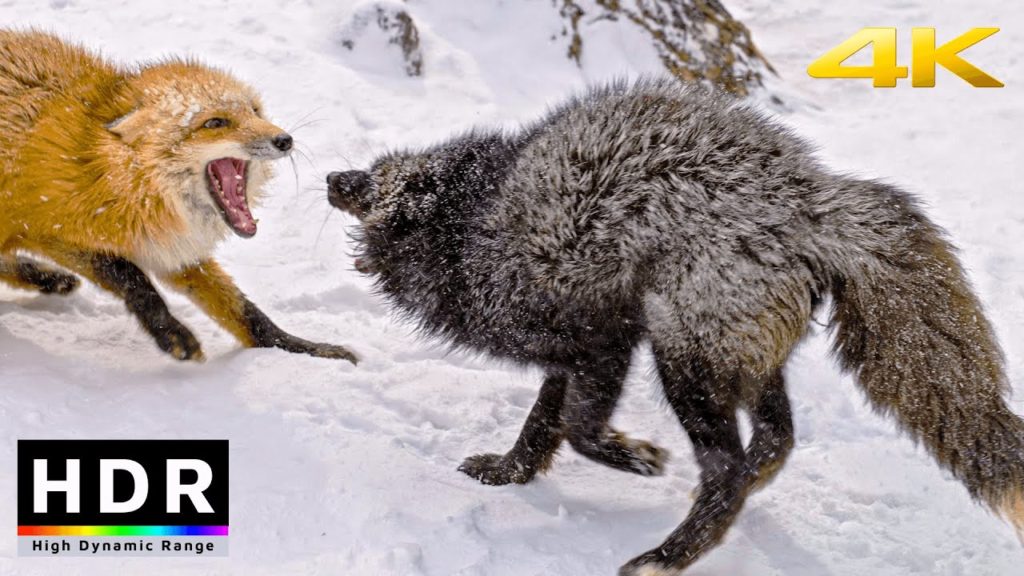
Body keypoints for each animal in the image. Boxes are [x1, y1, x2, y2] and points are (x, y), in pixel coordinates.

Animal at [0, 30, 356, 363]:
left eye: (254, 111)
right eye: (215, 122)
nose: (285, 140)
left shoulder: (172, 247)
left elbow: (246, 312)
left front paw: (305, 351)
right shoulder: (49, 228)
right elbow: (132, 277)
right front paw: (172, 333)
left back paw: (46, 278)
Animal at [326, 78, 1024, 574]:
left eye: (377, 181)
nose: (335, 176)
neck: (474, 229)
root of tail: (813, 203)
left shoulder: (603, 340)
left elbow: (577, 429)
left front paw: (633, 458)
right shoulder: (571, 354)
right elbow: (541, 428)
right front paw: (507, 474)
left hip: (682, 351)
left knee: (728, 464)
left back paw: (668, 556)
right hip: (736, 354)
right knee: (776, 439)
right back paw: (730, 504)